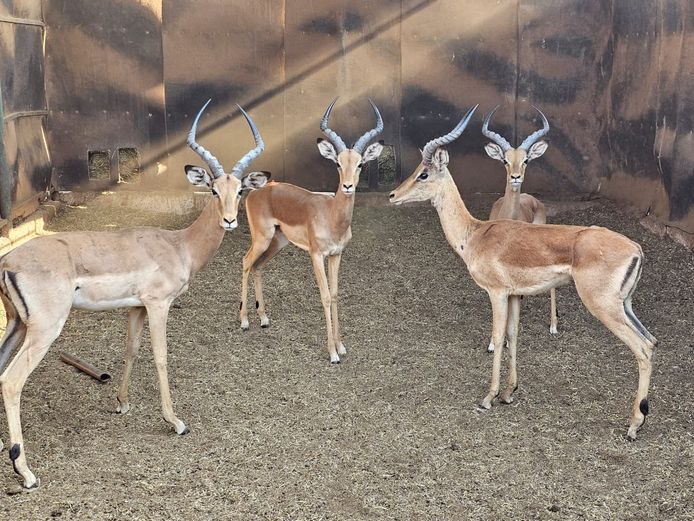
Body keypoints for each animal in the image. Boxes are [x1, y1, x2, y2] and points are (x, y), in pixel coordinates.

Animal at [0, 99, 269, 490]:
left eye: (240, 191)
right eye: (214, 190)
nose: (231, 221)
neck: (179, 245)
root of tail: (8, 260)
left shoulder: (135, 308)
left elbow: (131, 350)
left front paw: (122, 403)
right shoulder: (158, 304)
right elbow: (160, 356)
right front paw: (175, 421)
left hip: (16, 324)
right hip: (44, 330)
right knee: (11, 380)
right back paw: (26, 472)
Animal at [239, 98, 384, 364]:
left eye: (360, 163)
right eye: (337, 163)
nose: (347, 186)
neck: (332, 216)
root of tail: (257, 190)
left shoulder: (336, 255)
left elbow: (335, 294)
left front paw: (341, 346)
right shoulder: (316, 255)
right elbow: (325, 295)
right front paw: (333, 354)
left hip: (277, 242)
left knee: (257, 266)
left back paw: (263, 319)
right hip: (262, 239)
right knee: (245, 261)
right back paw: (244, 321)